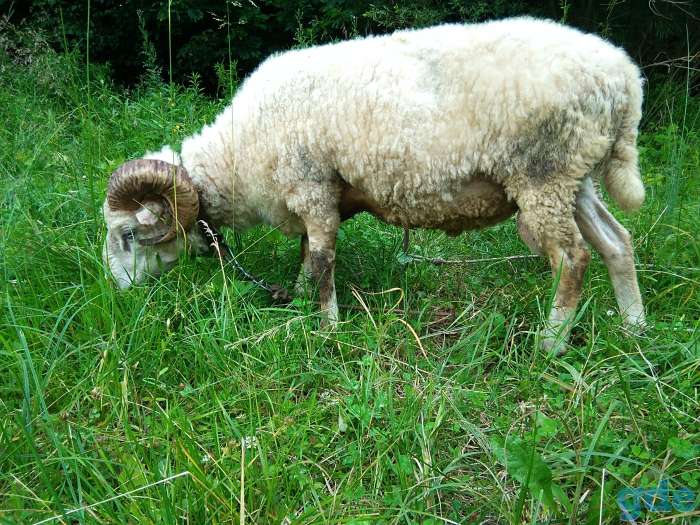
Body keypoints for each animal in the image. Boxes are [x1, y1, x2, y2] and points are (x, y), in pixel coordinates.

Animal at [103, 16, 647, 349]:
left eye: (128, 235)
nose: (118, 293)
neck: (239, 152)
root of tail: (623, 76)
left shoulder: (312, 185)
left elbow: (323, 260)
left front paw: (327, 329)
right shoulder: (314, 197)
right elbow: (306, 257)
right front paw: (297, 303)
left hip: (543, 174)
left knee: (572, 259)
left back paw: (551, 345)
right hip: (574, 175)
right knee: (617, 242)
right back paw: (635, 329)